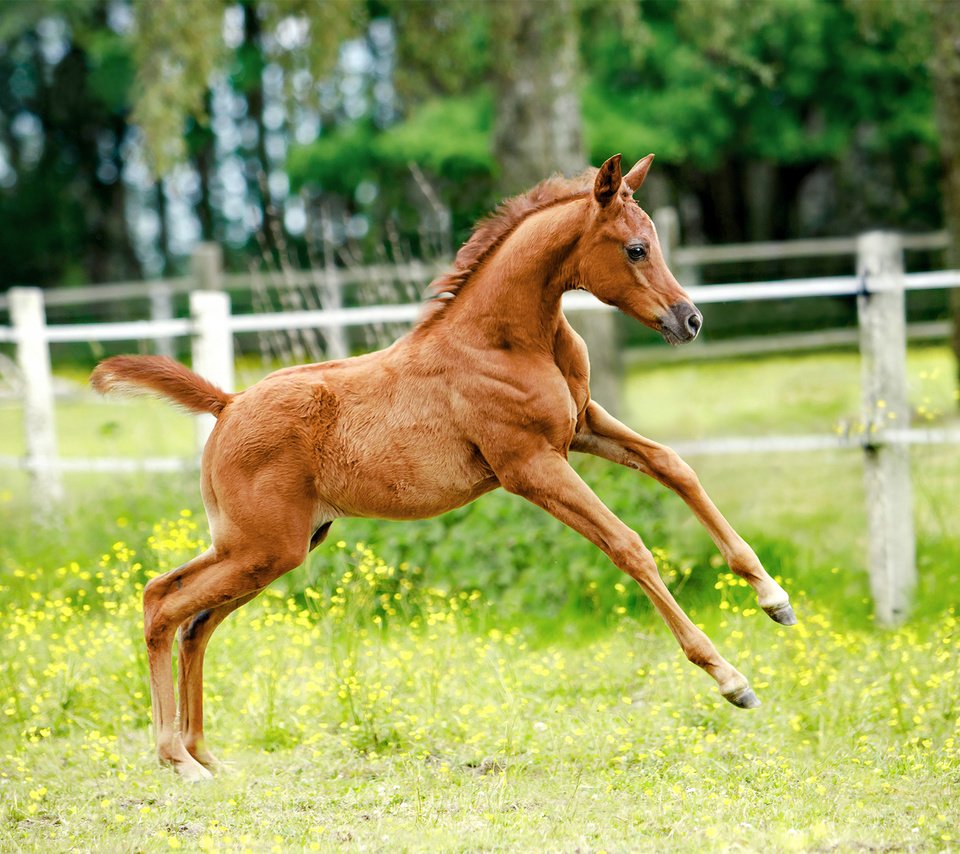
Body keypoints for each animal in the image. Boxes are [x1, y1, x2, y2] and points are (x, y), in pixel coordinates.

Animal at [92, 154, 796, 784]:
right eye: (635, 249)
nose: (690, 320)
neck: (504, 340)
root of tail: (228, 402)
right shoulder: (530, 465)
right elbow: (629, 545)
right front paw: (732, 680)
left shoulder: (582, 428)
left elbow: (674, 466)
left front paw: (774, 598)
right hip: (263, 546)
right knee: (162, 603)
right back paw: (177, 760)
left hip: (271, 547)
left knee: (192, 620)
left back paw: (205, 754)